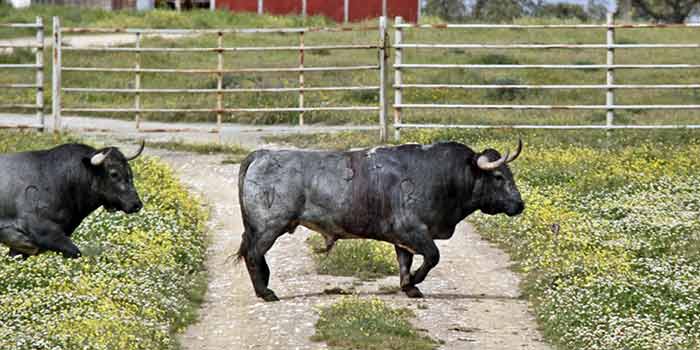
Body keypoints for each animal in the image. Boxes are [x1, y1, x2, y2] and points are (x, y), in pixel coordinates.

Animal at [238, 139, 524, 300]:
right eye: (498, 176)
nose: (520, 204)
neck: (443, 175)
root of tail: (262, 154)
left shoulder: (403, 237)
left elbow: (405, 262)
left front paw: (409, 287)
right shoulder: (413, 231)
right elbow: (432, 256)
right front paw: (414, 281)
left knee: (256, 256)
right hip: (269, 227)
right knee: (253, 256)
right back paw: (265, 293)